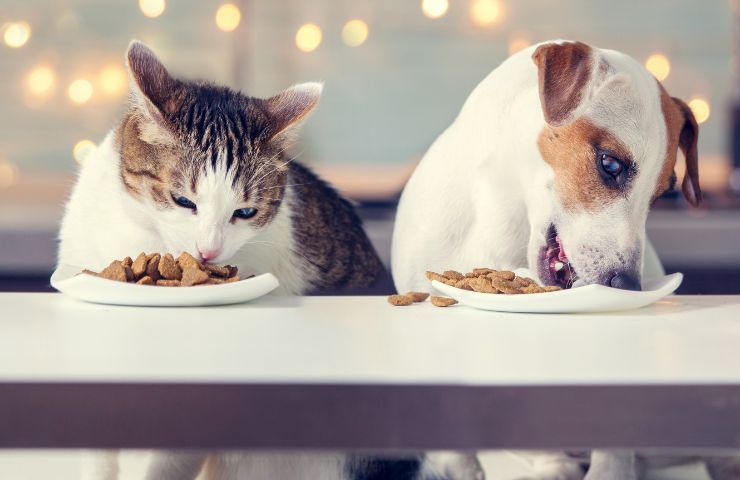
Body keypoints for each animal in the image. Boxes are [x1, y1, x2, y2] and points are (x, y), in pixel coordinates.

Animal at [390, 41, 740, 480]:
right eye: (610, 164)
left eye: (663, 193)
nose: (628, 285)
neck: (504, 216)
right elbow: (454, 452)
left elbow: (613, 453)